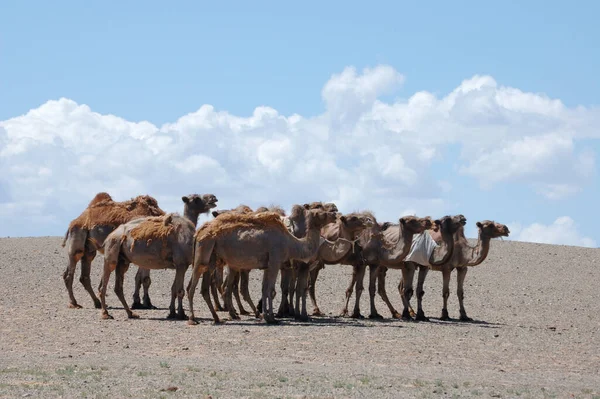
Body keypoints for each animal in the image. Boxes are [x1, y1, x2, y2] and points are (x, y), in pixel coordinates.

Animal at [188, 209, 338, 324]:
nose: (335, 214)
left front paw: (266, 316)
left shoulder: (268, 265)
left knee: (205, 288)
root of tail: (198, 232)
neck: (290, 242)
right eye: (321, 212)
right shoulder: (275, 262)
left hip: (212, 259)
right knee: (192, 286)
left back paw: (217, 318)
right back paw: (193, 319)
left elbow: (265, 290)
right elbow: (270, 290)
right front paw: (272, 318)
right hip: (203, 252)